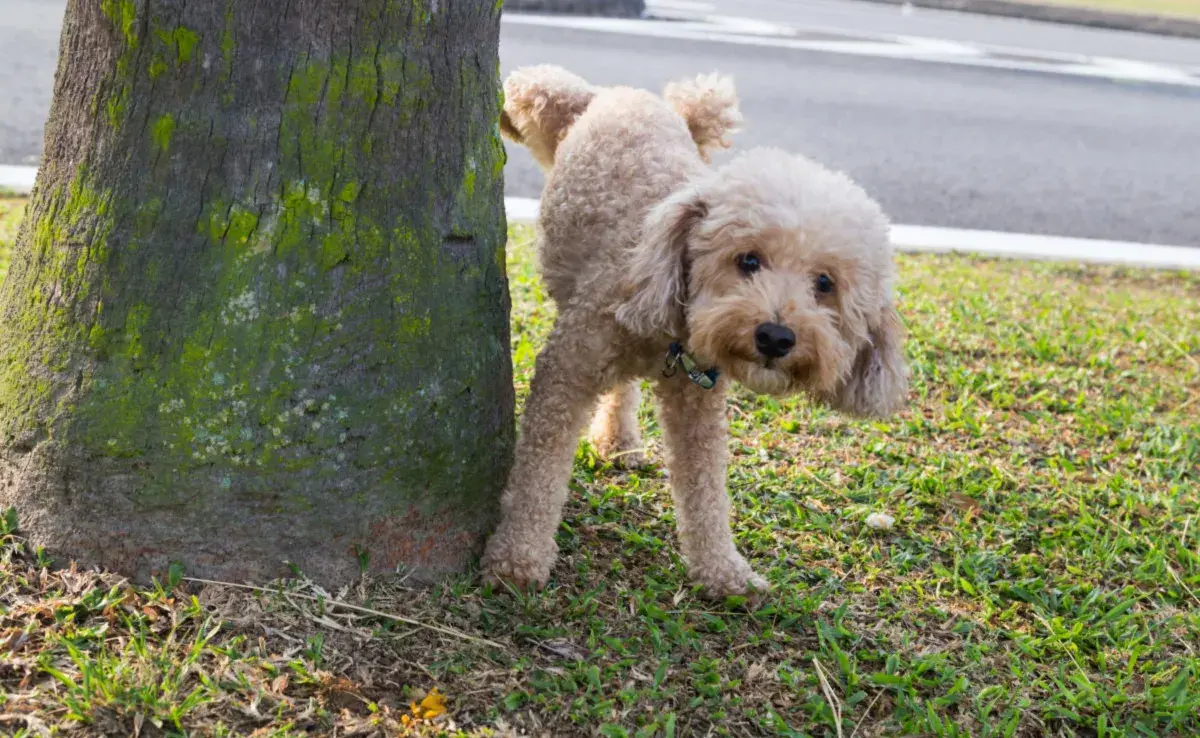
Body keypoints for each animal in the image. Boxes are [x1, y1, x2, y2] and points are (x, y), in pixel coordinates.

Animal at [482, 66, 902, 600]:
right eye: (748, 260)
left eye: (825, 284)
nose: (775, 337)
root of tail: (630, 95)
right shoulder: (567, 370)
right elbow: (539, 471)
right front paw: (518, 556)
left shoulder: (697, 401)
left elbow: (705, 489)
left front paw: (723, 570)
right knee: (534, 83)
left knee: (623, 389)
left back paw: (619, 441)